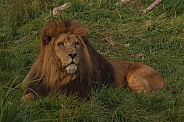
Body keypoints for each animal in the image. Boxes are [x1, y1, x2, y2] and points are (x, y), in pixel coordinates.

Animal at [22, 20, 167, 102]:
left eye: (76, 43)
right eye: (60, 44)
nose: (73, 54)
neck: (58, 75)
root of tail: (164, 81)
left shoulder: (78, 94)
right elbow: (27, 97)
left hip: (134, 75)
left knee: (147, 95)